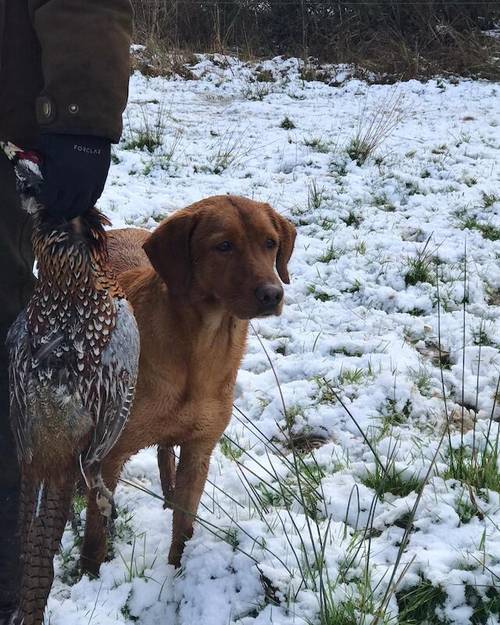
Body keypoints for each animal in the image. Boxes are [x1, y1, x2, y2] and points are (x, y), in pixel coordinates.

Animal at [80, 196, 294, 576]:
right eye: (223, 246)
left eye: (270, 243)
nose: (272, 294)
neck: (199, 350)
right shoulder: (109, 455)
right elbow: (96, 533)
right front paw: (88, 575)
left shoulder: (199, 450)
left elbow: (185, 523)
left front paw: (178, 568)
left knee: (166, 454)